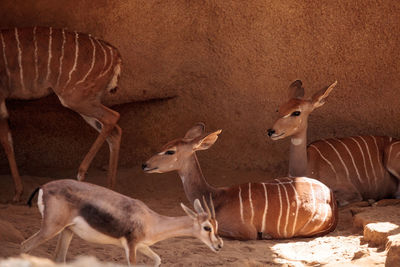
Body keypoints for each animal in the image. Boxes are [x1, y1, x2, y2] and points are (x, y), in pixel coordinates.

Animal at [0, 27, 122, 203]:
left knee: (113, 117)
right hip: (86, 100)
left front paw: (17, 194)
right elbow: (7, 141)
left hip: (75, 98)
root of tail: (114, 53)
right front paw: (17, 193)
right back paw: (110, 189)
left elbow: (5, 141)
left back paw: (81, 173)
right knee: (114, 131)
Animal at [21, 180, 223, 266]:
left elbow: (158, 259)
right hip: (51, 228)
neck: (151, 220)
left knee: (59, 258)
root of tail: (44, 186)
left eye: (216, 226)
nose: (219, 245)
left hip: (67, 231)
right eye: (207, 227)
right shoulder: (131, 246)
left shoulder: (142, 246)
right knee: (25, 246)